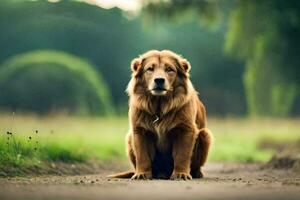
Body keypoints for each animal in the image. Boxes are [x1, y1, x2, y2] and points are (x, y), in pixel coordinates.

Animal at [109, 49, 212, 180]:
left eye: (169, 69)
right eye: (150, 69)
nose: (159, 80)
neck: (159, 105)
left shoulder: (185, 129)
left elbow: (182, 155)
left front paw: (181, 174)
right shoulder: (140, 130)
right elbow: (142, 155)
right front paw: (142, 174)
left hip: (205, 135)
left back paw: (196, 173)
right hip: (129, 137)